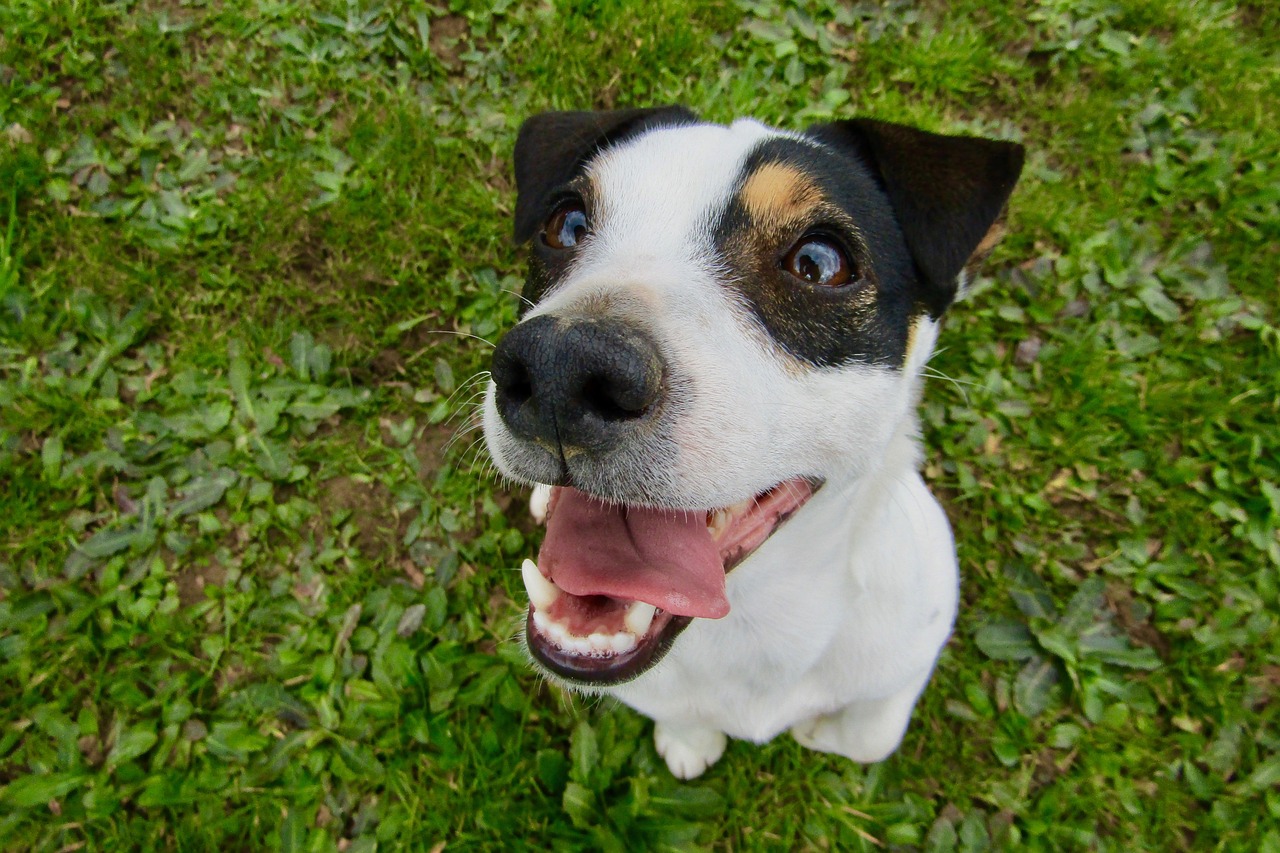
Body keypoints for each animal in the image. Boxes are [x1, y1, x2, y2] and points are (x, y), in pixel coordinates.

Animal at [481, 108, 1018, 778]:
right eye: (567, 224)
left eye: (818, 263)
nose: (560, 367)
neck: (755, 612)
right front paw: (690, 741)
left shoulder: (913, 637)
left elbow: (870, 736)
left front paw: (820, 729)